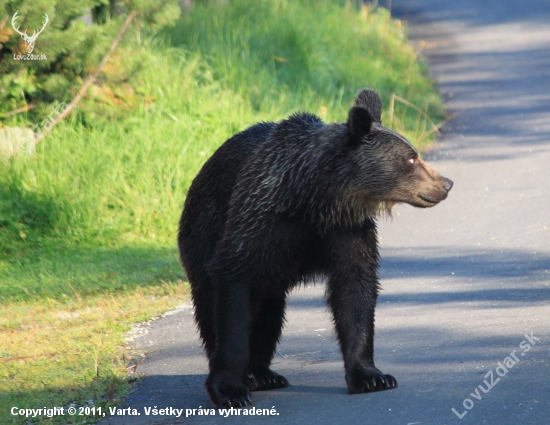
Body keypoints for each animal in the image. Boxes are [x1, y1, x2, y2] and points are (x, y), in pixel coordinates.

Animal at [179, 87, 454, 408]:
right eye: (411, 159)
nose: (446, 183)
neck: (316, 201)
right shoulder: (260, 224)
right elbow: (233, 287)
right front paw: (230, 389)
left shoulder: (347, 231)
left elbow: (355, 291)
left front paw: (371, 376)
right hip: (203, 230)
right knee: (213, 304)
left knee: (270, 312)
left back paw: (264, 373)